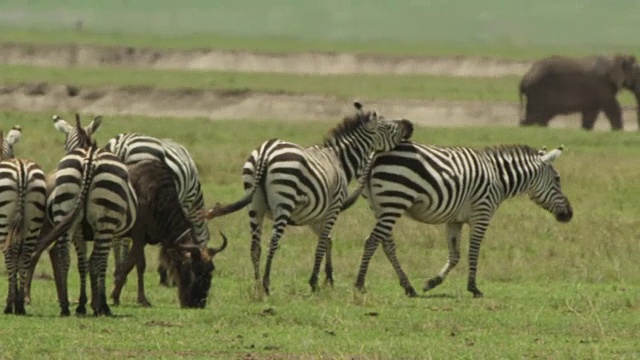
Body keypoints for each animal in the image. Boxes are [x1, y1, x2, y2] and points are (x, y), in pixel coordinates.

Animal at [30, 114, 138, 316]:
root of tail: (90, 158)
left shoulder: (79, 232)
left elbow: (82, 264)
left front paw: (82, 304)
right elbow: (94, 262)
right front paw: (95, 304)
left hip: (66, 209)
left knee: (64, 254)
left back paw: (65, 307)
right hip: (106, 220)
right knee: (100, 259)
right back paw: (103, 306)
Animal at [205, 101, 416, 296]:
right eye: (388, 126)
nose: (410, 124)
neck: (339, 160)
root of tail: (266, 150)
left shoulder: (314, 216)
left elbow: (328, 240)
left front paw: (329, 278)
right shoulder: (333, 208)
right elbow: (321, 244)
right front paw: (314, 281)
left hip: (254, 204)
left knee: (255, 246)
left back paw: (256, 284)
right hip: (284, 200)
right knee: (273, 241)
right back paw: (266, 284)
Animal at [352, 142, 572, 296]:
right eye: (557, 179)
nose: (569, 215)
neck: (499, 179)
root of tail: (376, 153)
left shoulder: (454, 220)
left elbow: (455, 255)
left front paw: (432, 282)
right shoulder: (482, 214)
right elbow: (473, 252)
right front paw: (473, 288)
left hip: (381, 206)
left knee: (386, 244)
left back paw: (409, 287)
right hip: (395, 199)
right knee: (372, 240)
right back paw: (359, 284)